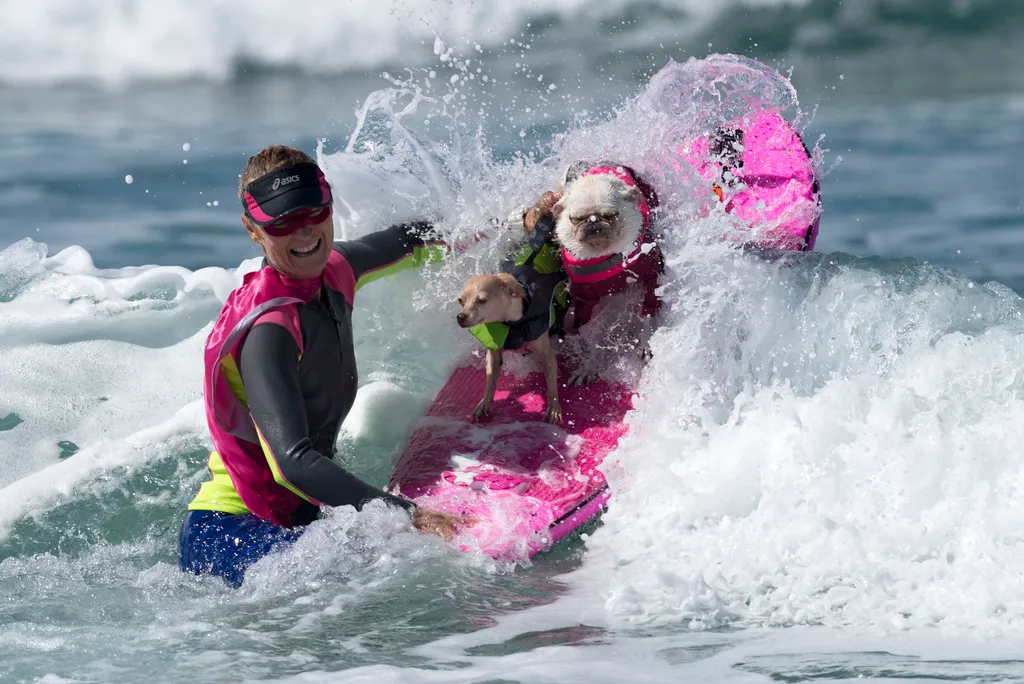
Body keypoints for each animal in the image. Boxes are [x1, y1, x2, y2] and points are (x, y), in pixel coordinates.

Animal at [458, 270, 565, 421]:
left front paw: (554, 408)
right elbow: (490, 381)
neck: (512, 324)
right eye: (460, 301)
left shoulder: (547, 356)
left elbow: (551, 385)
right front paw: (484, 403)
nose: (460, 317)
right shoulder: (493, 355)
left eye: (482, 300)